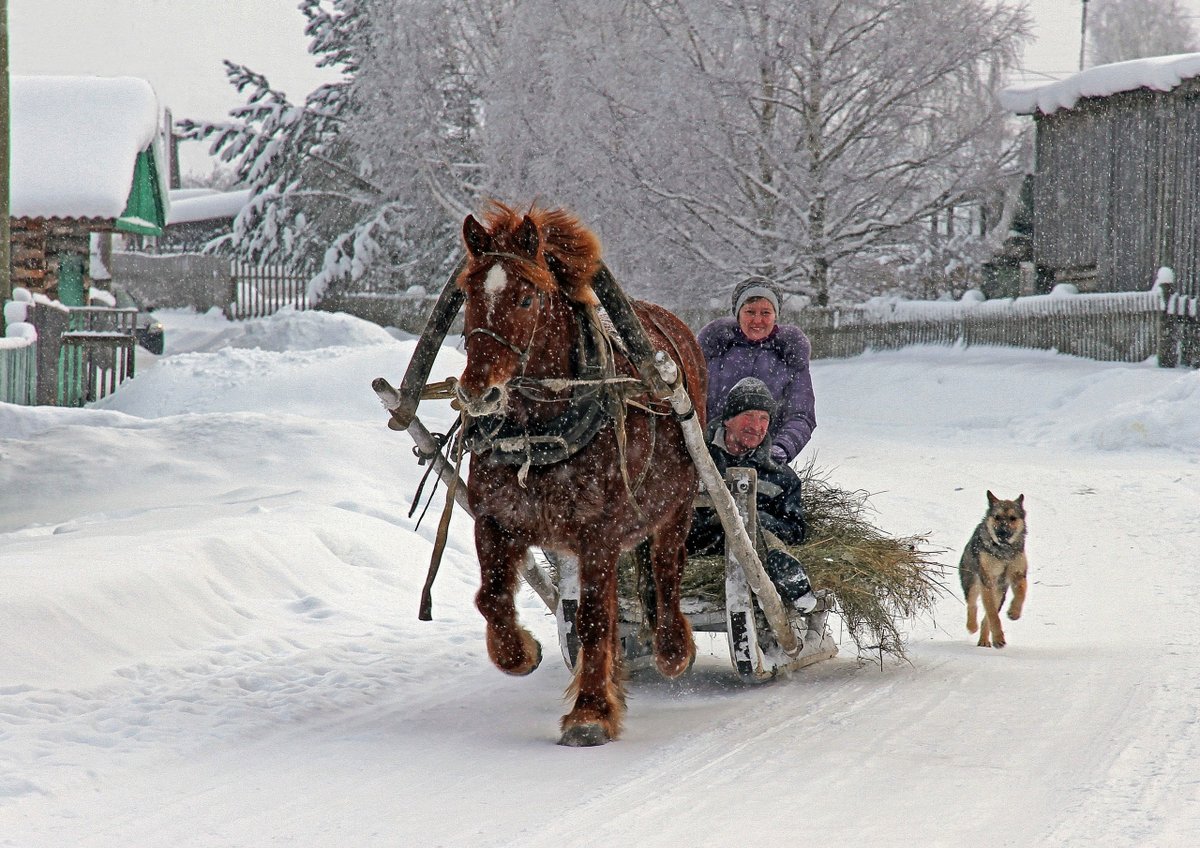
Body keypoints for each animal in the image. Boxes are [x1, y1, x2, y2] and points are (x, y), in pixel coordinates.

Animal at [452, 201, 707, 746]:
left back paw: (673, 647)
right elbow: (491, 597)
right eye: (468, 295)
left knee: (666, 568)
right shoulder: (495, 519)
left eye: (526, 296)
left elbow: (592, 618)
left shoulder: (599, 533)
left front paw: (590, 712)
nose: (477, 393)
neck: (537, 434)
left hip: (677, 503)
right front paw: (520, 652)